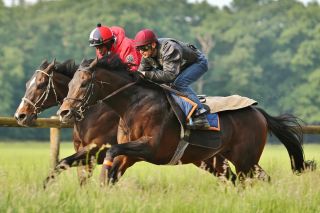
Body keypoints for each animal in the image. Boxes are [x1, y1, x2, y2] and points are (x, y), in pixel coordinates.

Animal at [14, 59, 235, 187]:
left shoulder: (95, 150)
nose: (20, 115)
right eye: (26, 84)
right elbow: (66, 167)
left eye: (41, 85)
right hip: (206, 159)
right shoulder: (86, 153)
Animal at [58, 54, 316, 186]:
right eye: (70, 84)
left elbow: (110, 156)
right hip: (219, 160)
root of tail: (258, 112)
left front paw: (101, 181)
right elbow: (110, 167)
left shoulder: (150, 147)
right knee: (243, 180)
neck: (134, 103)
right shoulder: (128, 152)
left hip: (245, 159)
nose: (65, 112)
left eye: (83, 84)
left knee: (251, 180)